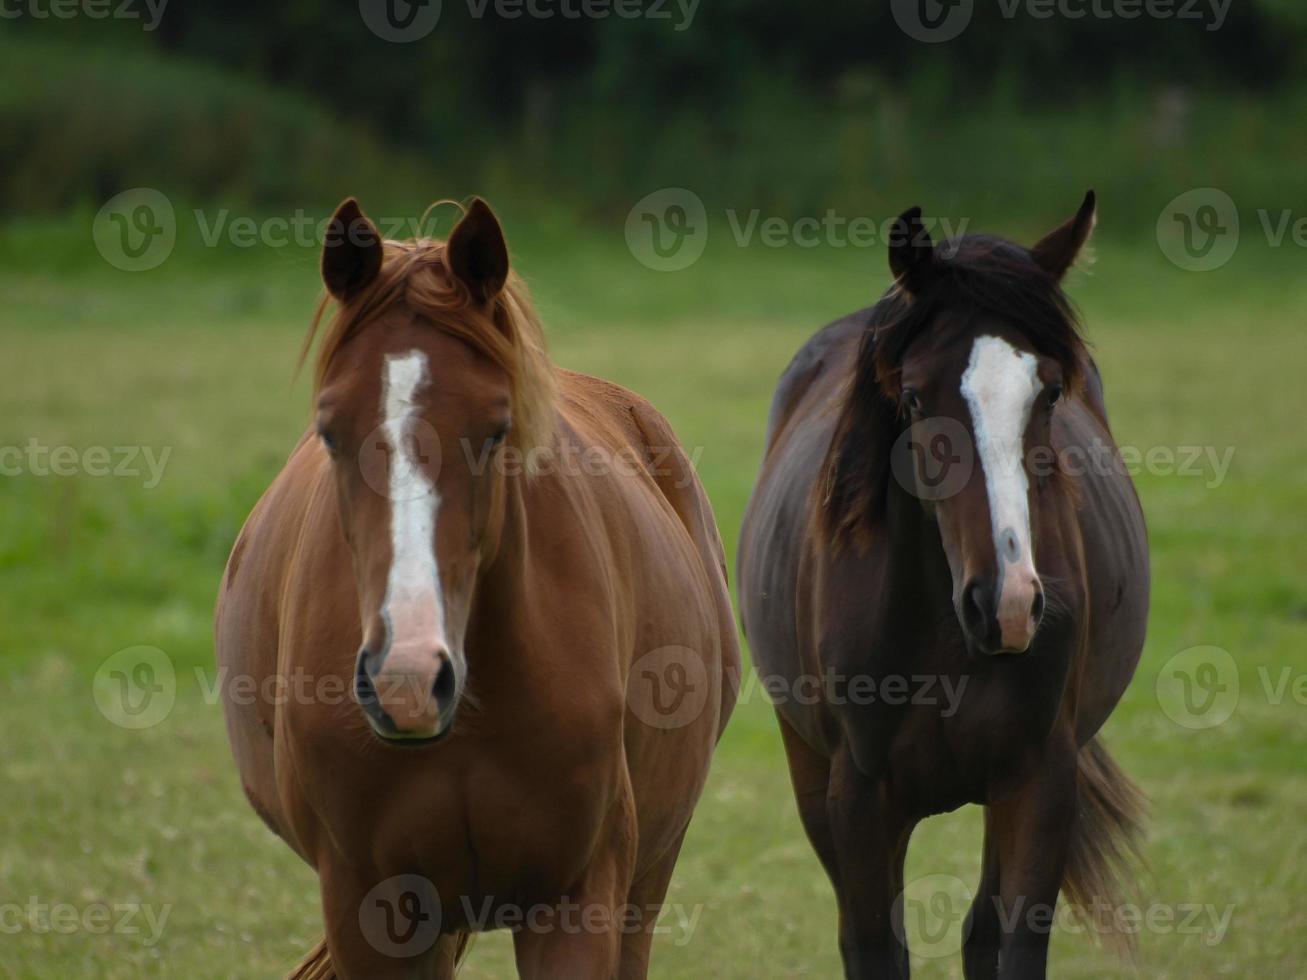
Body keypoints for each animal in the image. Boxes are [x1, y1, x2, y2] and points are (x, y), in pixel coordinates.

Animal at [219, 195, 742, 977]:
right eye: (329, 431)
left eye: (496, 430)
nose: (406, 679)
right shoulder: (370, 909)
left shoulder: (577, 900)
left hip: (645, 882)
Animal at [742, 193, 1150, 980]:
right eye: (910, 395)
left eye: (1050, 390)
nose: (1008, 605)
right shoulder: (859, 801)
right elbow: (875, 946)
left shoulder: (1038, 783)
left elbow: (1010, 943)